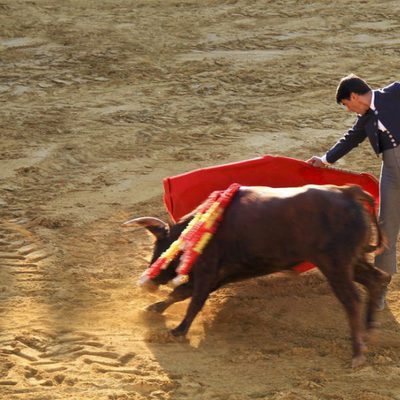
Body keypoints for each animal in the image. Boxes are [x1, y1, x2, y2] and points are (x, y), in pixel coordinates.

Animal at [123, 184, 390, 366]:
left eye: (160, 248)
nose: (149, 282)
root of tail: (347, 191)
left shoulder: (208, 272)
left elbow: (193, 300)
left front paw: (178, 331)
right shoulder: (217, 276)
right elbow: (181, 293)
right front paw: (153, 309)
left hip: (335, 265)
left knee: (352, 299)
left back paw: (357, 354)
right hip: (351, 262)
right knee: (377, 279)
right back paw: (371, 329)